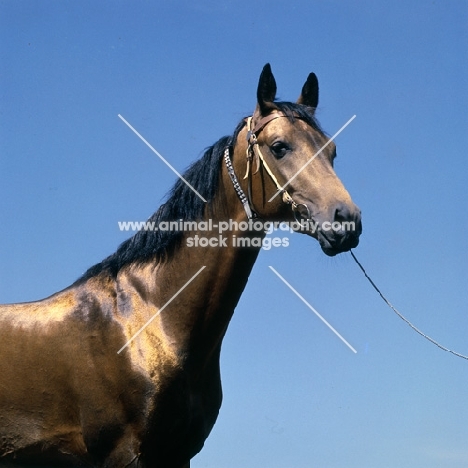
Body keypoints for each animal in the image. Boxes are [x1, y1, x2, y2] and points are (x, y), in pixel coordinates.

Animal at [0, 63, 362, 468]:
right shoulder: (125, 455)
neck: (152, 315)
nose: (346, 220)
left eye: (332, 151)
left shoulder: (177, 454)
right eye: (279, 147)